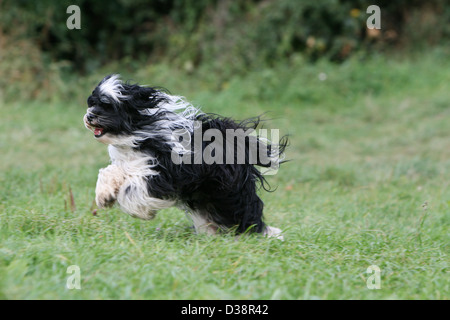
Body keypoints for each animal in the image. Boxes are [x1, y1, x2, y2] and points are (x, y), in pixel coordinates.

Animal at [83, 75, 288, 239]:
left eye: (107, 105)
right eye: (92, 103)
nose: (90, 116)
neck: (137, 137)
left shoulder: (164, 176)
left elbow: (133, 190)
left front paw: (139, 212)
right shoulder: (129, 164)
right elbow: (109, 172)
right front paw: (104, 196)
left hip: (230, 193)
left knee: (247, 213)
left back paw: (264, 234)